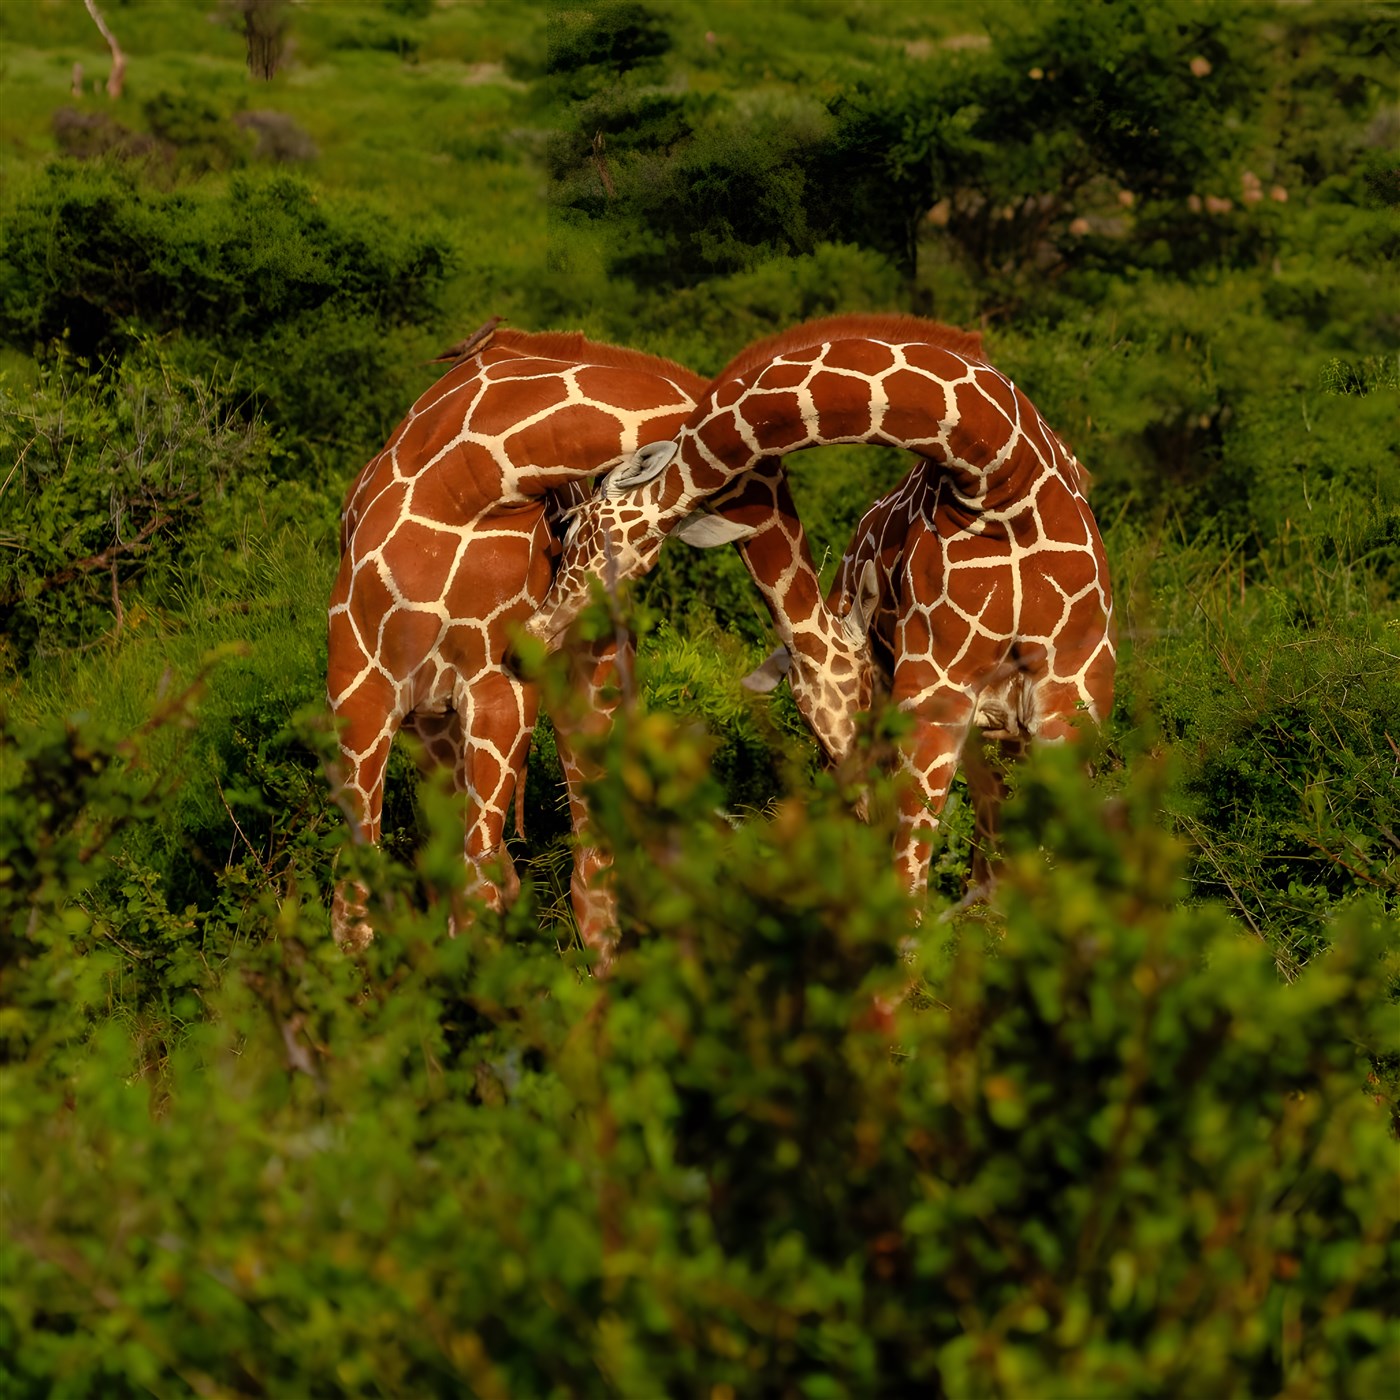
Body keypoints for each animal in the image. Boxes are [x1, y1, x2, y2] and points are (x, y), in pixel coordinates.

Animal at [326, 324, 871, 954]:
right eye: (860, 692)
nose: (869, 807)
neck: (468, 481)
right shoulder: (359, 685)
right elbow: (356, 910)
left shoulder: (499, 693)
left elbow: (476, 887)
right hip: (433, 727)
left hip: (582, 696)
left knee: (587, 877)